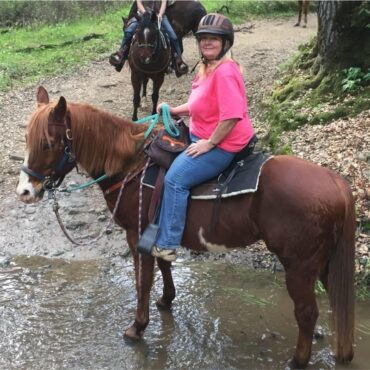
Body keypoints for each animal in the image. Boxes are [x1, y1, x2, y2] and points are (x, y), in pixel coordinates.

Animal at [16, 86, 356, 368]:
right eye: (27, 140)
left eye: (48, 143)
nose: (25, 191)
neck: (130, 164)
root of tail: (336, 182)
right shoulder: (159, 227)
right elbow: (165, 264)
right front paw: (166, 300)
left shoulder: (136, 234)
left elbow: (142, 281)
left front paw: (137, 328)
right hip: (323, 263)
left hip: (299, 266)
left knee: (307, 313)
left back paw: (298, 361)